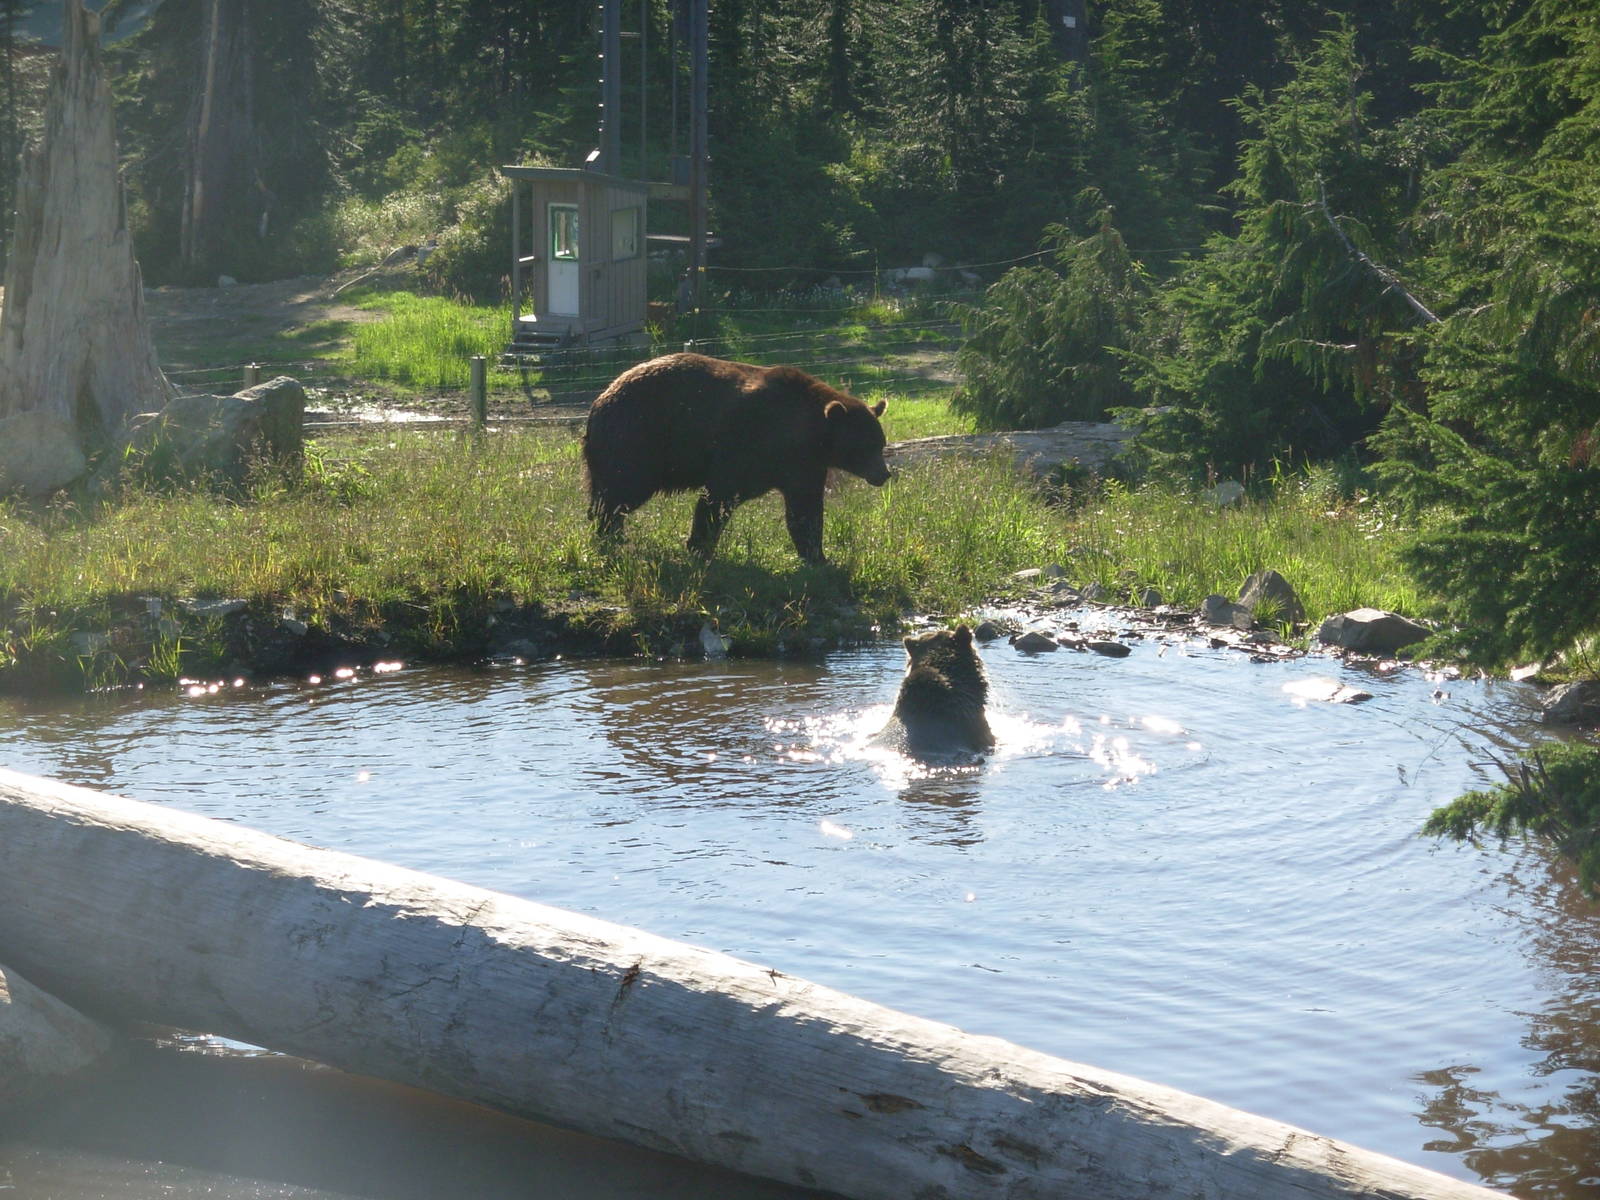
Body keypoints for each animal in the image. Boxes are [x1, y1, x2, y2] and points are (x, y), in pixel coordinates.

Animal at [582, 353, 891, 564]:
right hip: (636, 437)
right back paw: (610, 532)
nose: (883, 474)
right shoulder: (746, 443)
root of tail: (598, 401)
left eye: (880, 443)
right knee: (623, 488)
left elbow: (805, 510)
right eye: (865, 446)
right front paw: (700, 546)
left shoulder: (803, 466)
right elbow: (719, 496)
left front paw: (818, 556)